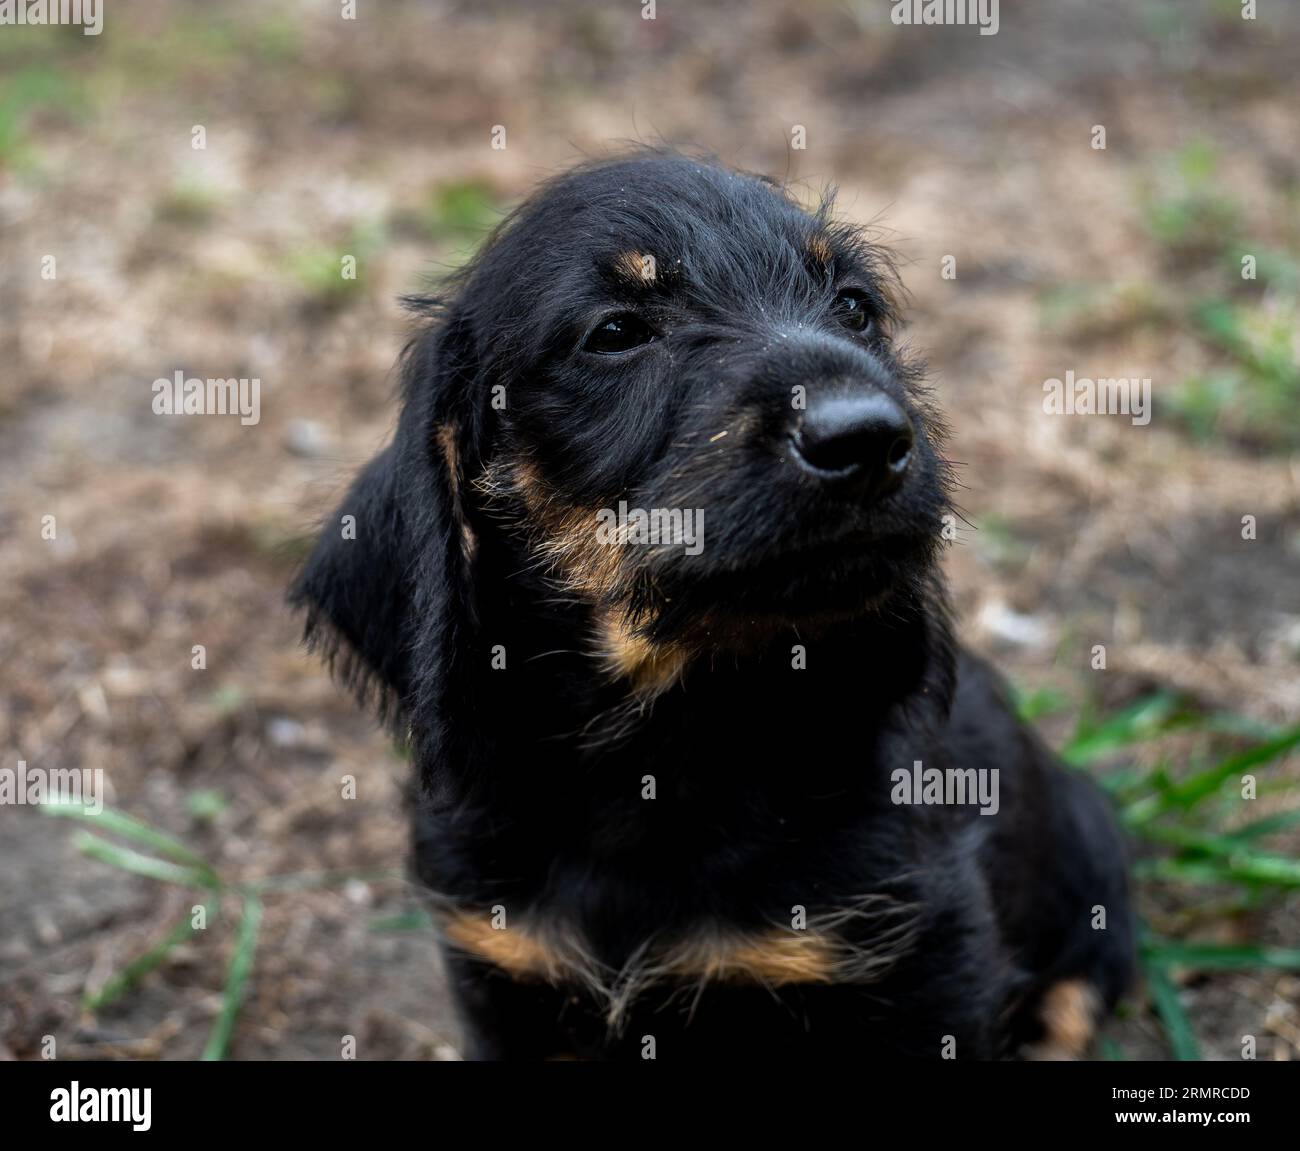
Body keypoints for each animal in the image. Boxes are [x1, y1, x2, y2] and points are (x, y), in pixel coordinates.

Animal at [292, 148, 1128, 1056]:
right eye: (616, 333)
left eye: (855, 307)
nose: (868, 436)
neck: (662, 756)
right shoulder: (504, 965)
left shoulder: (923, 957)